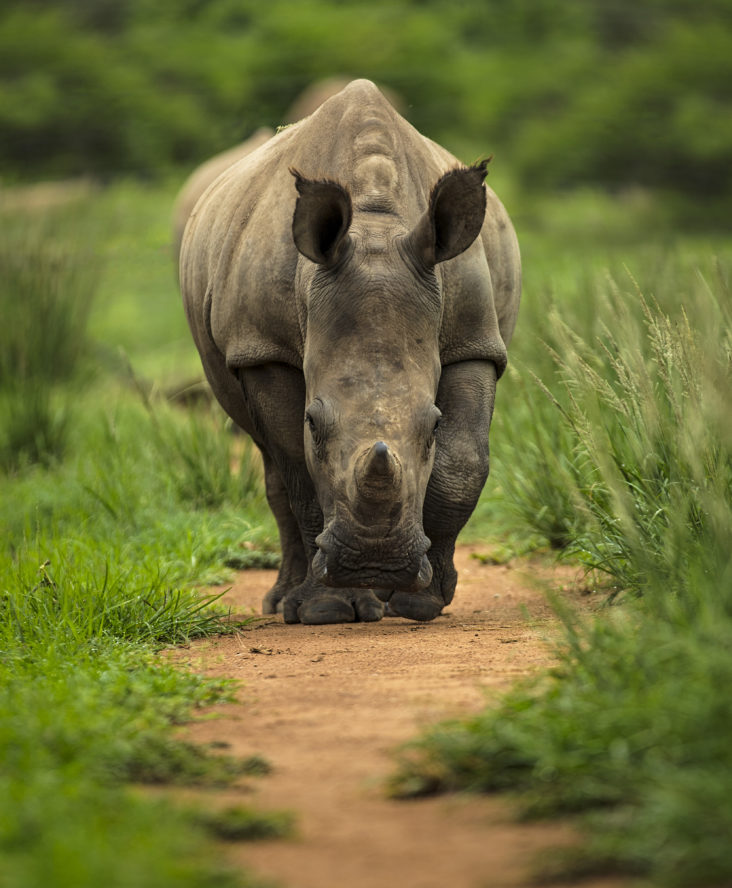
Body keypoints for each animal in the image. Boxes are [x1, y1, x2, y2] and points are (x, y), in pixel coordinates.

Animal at [179, 79, 520, 624]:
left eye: (434, 425)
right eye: (314, 422)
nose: (375, 561)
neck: (376, 223)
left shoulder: (475, 340)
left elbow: (464, 462)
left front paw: (422, 601)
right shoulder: (264, 348)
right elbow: (299, 468)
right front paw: (325, 610)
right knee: (271, 463)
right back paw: (286, 602)